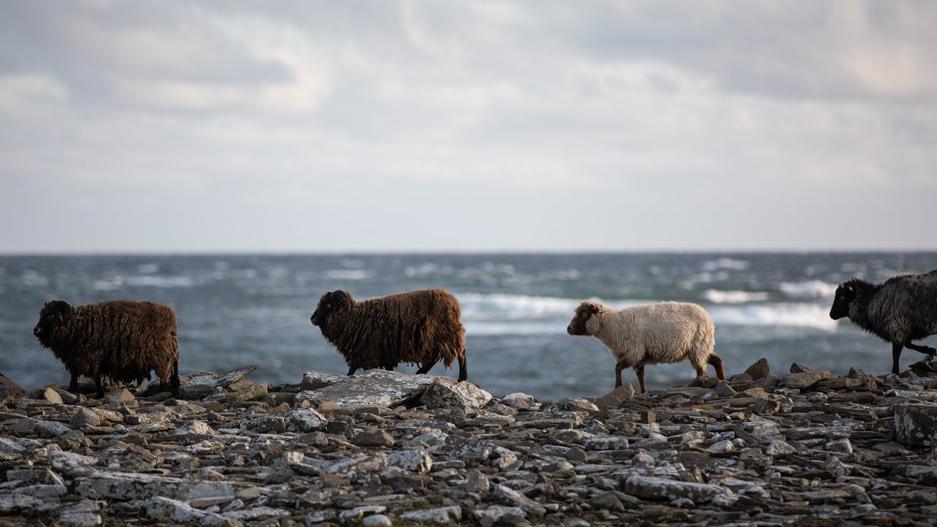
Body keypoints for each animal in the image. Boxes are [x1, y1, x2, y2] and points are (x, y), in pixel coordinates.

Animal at [33, 300, 180, 398]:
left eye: (51, 315)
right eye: (42, 314)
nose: (36, 330)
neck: (77, 324)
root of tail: (171, 314)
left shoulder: (92, 355)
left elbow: (95, 376)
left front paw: (98, 394)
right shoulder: (77, 356)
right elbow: (76, 373)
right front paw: (73, 388)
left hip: (161, 351)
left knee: (168, 368)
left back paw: (163, 389)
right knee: (173, 365)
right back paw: (174, 386)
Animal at [308, 288, 466, 380]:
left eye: (329, 305)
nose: (312, 319)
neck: (354, 318)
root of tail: (454, 302)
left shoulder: (370, 353)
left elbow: (353, 370)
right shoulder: (382, 354)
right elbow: (355, 369)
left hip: (441, 335)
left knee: (458, 354)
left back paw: (461, 378)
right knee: (437, 357)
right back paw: (421, 373)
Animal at [564, 300, 724, 394]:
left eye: (584, 314)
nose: (568, 329)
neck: (614, 325)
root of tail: (707, 317)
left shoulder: (634, 351)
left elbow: (617, 367)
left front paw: (618, 386)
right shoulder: (639, 356)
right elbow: (640, 375)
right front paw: (643, 391)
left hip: (698, 346)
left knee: (702, 369)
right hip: (701, 347)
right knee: (716, 360)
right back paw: (721, 380)